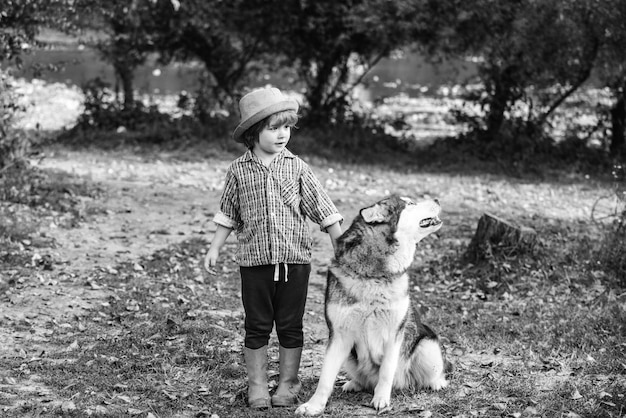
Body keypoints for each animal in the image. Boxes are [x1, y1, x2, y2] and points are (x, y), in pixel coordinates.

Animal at [294, 197, 446, 418]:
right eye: (409, 203)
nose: (436, 199)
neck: (374, 277)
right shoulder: (338, 336)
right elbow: (325, 379)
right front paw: (314, 405)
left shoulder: (394, 335)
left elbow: (386, 372)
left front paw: (381, 399)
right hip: (350, 356)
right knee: (363, 379)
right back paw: (354, 383)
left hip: (427, 345)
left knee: (429, 373)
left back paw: (437, 382)